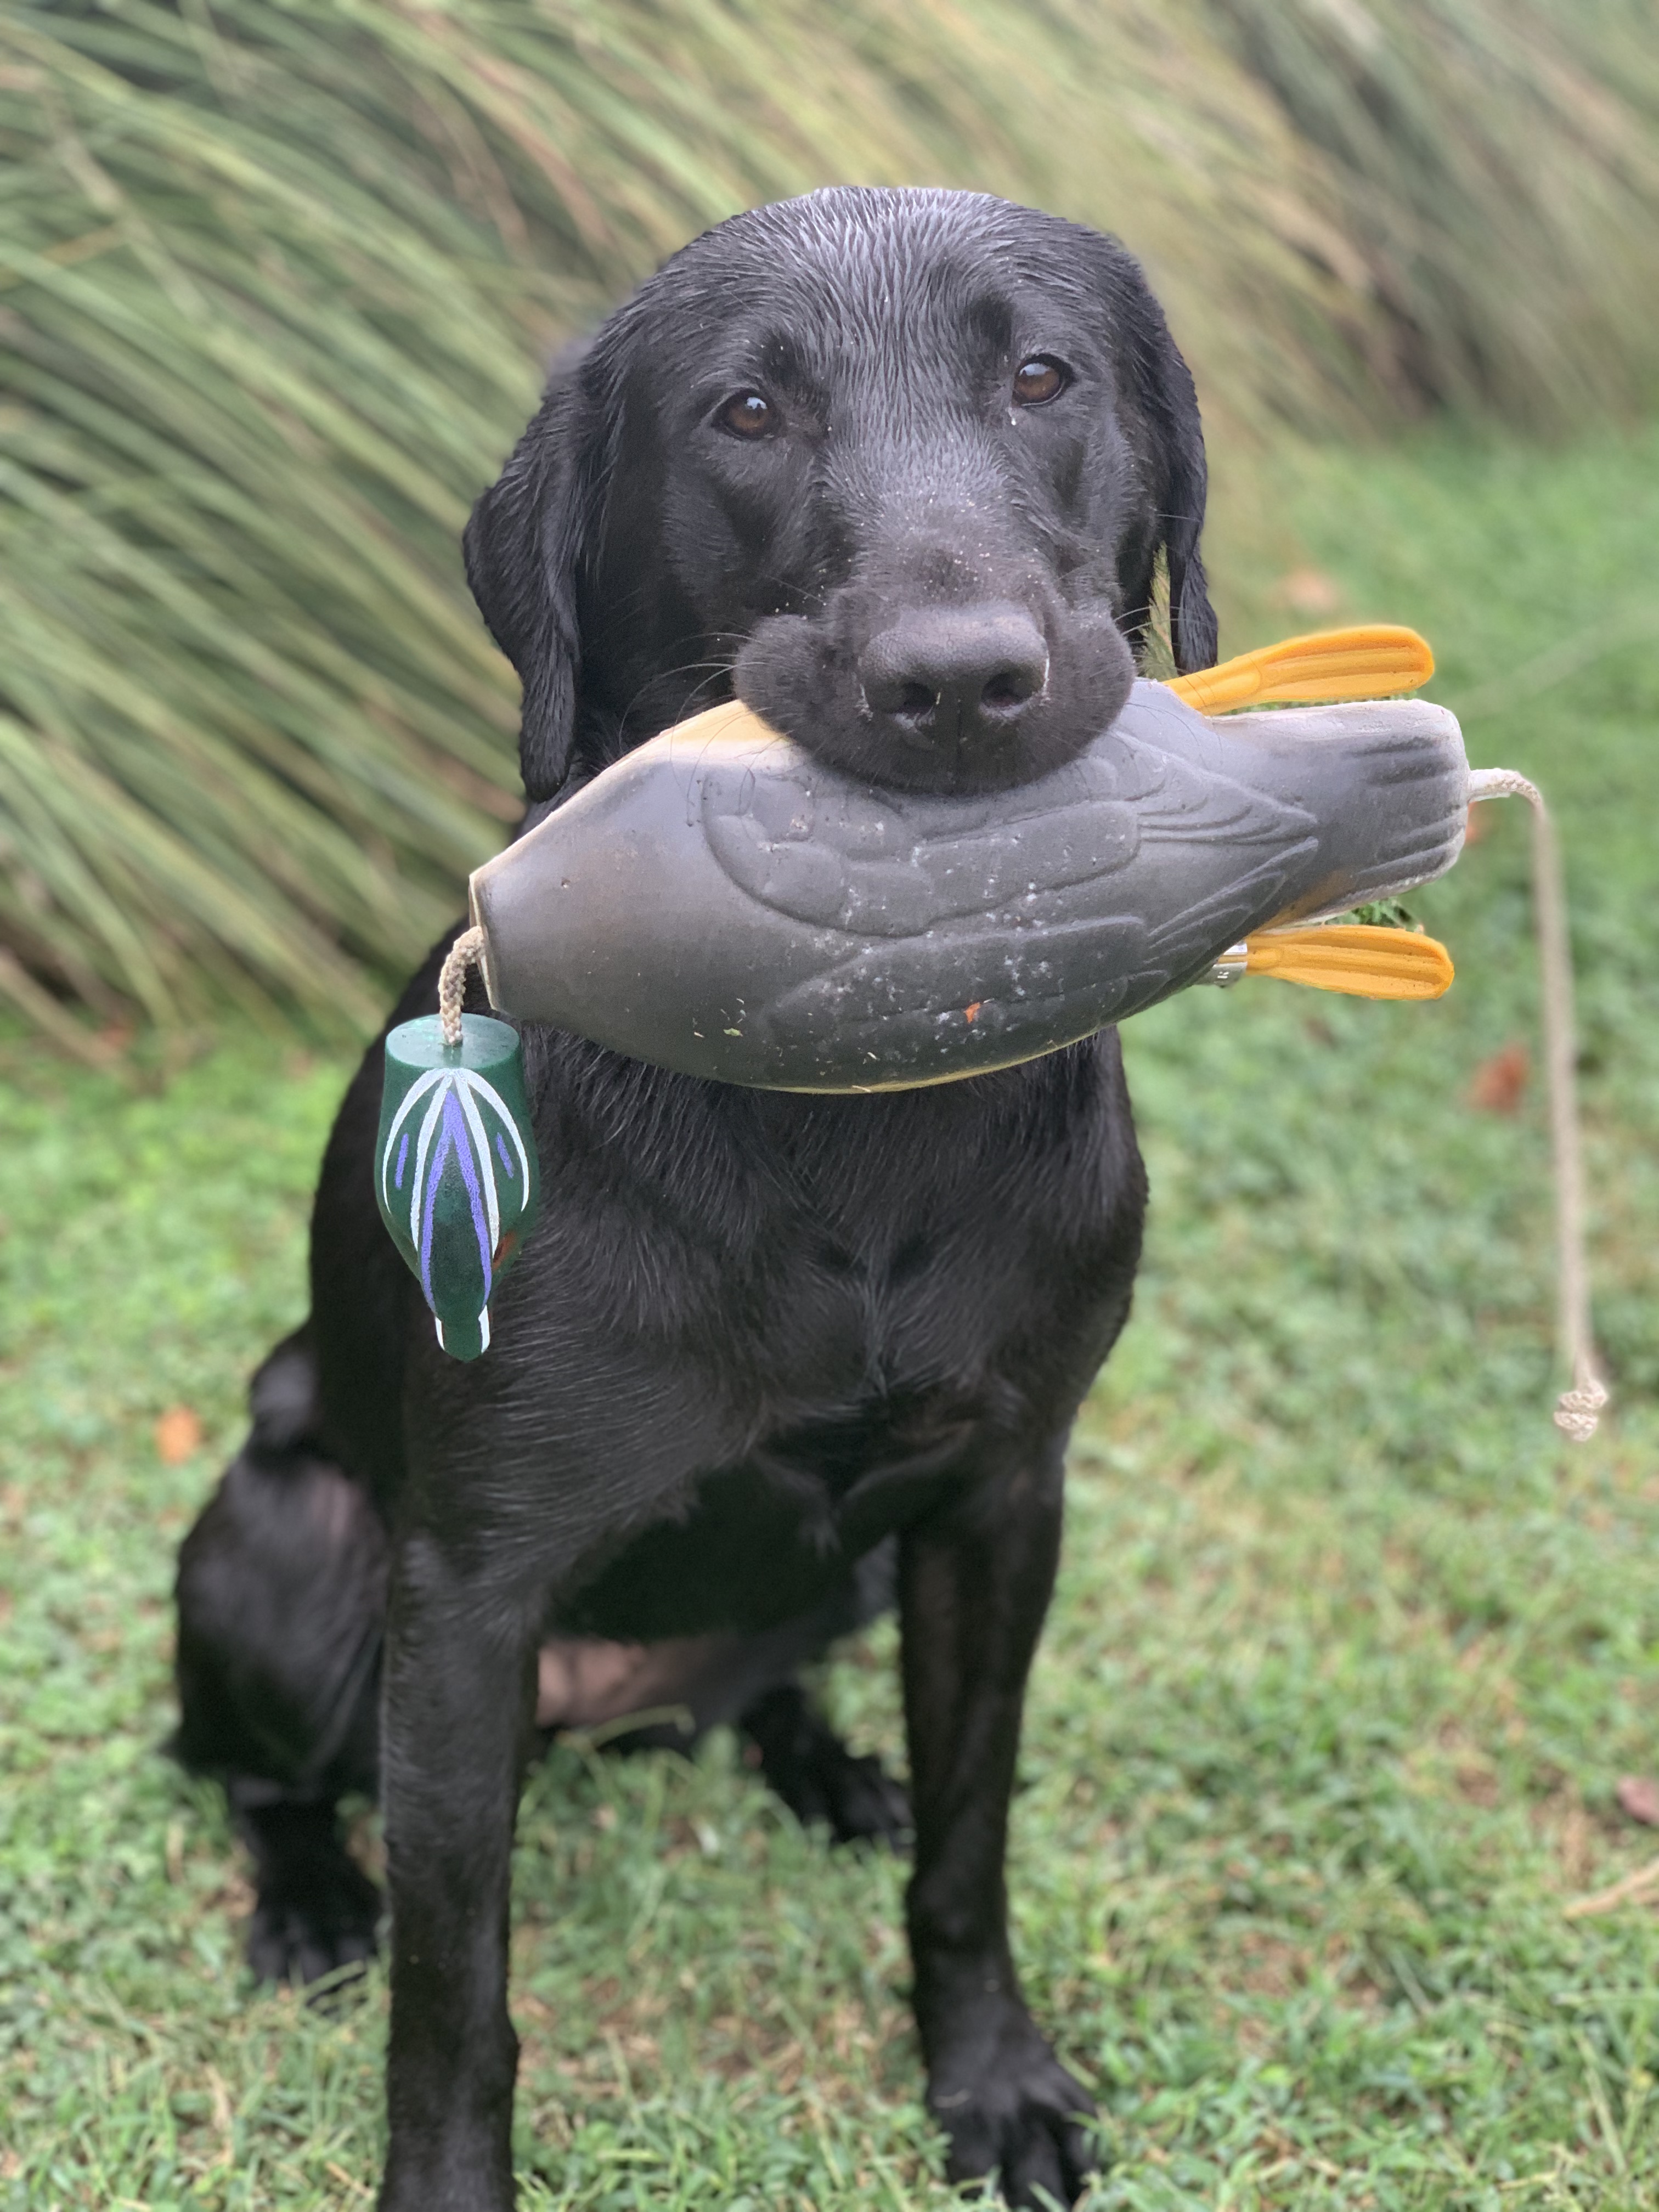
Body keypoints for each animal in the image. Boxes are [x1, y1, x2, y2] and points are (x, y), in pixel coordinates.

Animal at [179, 190, 1221, 2212]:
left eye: (1041, 375)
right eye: (745, 411)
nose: (957, 682)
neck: (861, 1095)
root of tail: (607, 1704)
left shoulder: (1003, 1502)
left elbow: (970, 1848)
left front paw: (989, 2078)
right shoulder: (469, 1590)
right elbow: (456, 1997)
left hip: (858, 1568)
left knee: (776, 1683)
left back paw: (831, 1768)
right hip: (291, 1552)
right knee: (255, 1774)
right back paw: (308, 1900)